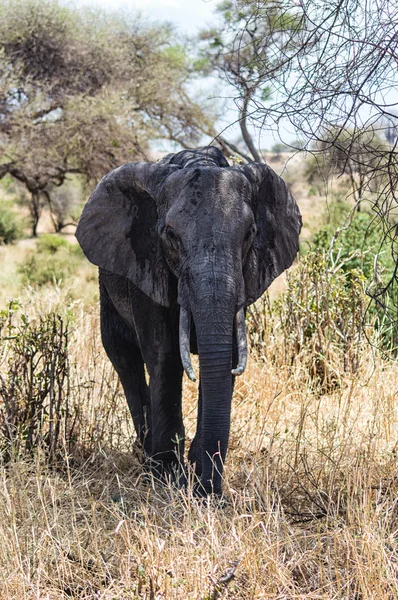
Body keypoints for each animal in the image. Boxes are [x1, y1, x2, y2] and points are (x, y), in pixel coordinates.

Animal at [74, 146, 302, 496]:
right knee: (123, 356)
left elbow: (227, 357)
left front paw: (199, 479)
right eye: (170, 235)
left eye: (249, 234)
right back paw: (147, 458)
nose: (206, 489)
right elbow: (164, 356)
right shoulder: (147, 264)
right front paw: (167, 476)